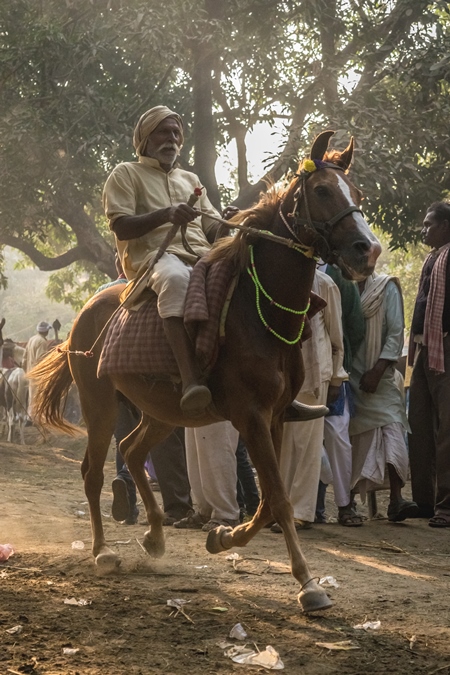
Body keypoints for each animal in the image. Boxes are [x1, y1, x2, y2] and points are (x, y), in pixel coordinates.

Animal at [29, 131, 380, 612]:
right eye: (323, 191)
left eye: (358, 194)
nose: (368, 250)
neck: (258, 311)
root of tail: (87, 312)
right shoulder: (250, 416)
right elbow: (279, 500)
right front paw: (308, 585)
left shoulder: (274, 416)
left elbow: (268, 501)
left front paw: (222, 536)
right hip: (99, 403)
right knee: (92, 471)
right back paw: (102, 552)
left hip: (163, 410)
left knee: (134, 451)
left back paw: (155, 537)